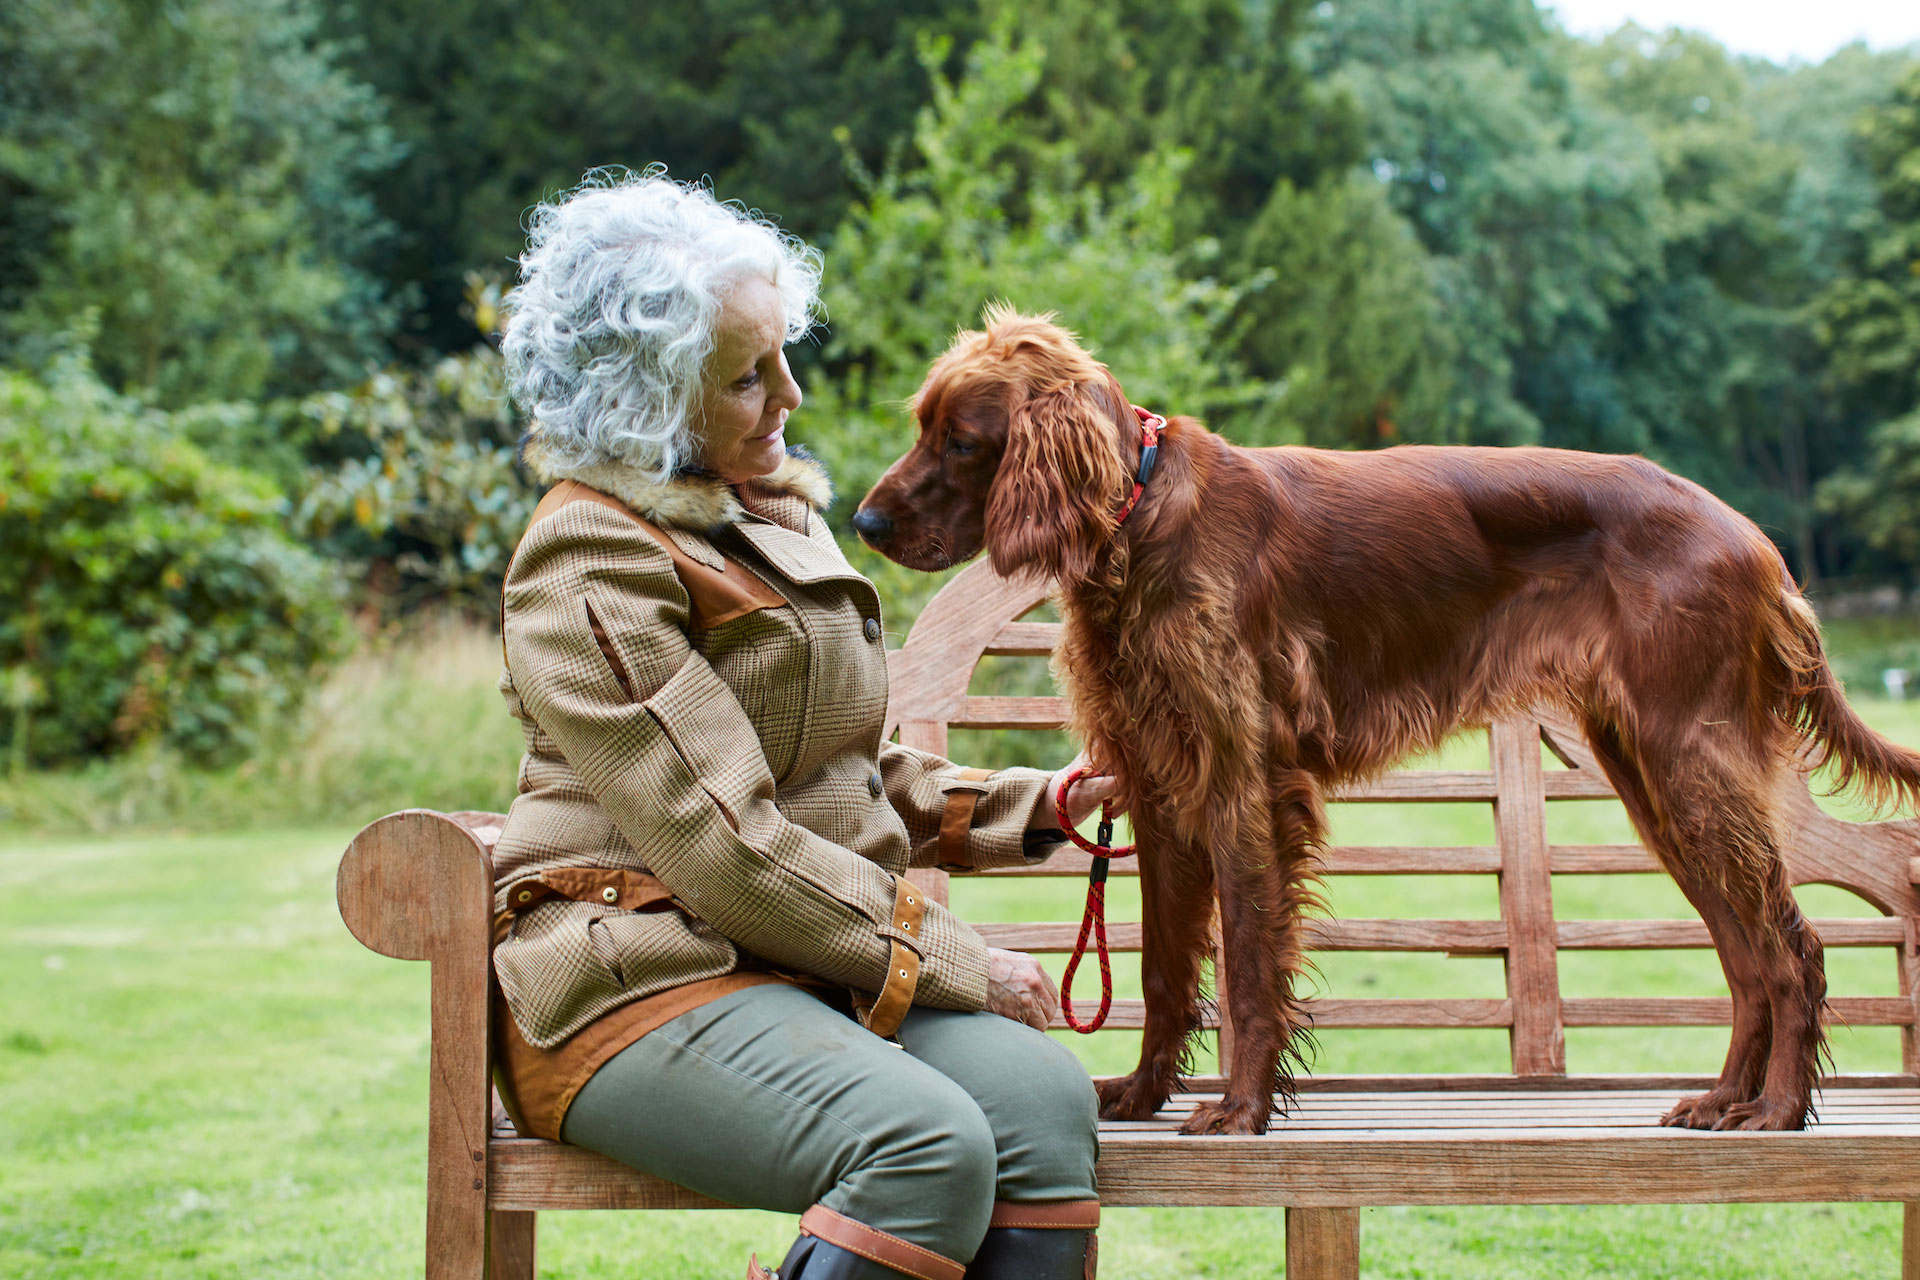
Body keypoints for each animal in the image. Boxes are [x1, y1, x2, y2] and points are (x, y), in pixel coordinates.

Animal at [856, 305, 1920, 1136]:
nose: (864, 524)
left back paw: (1778, 1110)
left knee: (1793, 949)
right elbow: (1162, 966)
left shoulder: (1243, 779)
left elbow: (1249, 962)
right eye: (926, 425)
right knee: (1745, 954)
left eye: (962, 439)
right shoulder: (1156, 787)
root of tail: (1753, 539)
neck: (1139, 517)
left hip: (1688, 761)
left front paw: (1241, 1111)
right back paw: (1725, 1099)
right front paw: (1144, 1093)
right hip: (1651, 778)